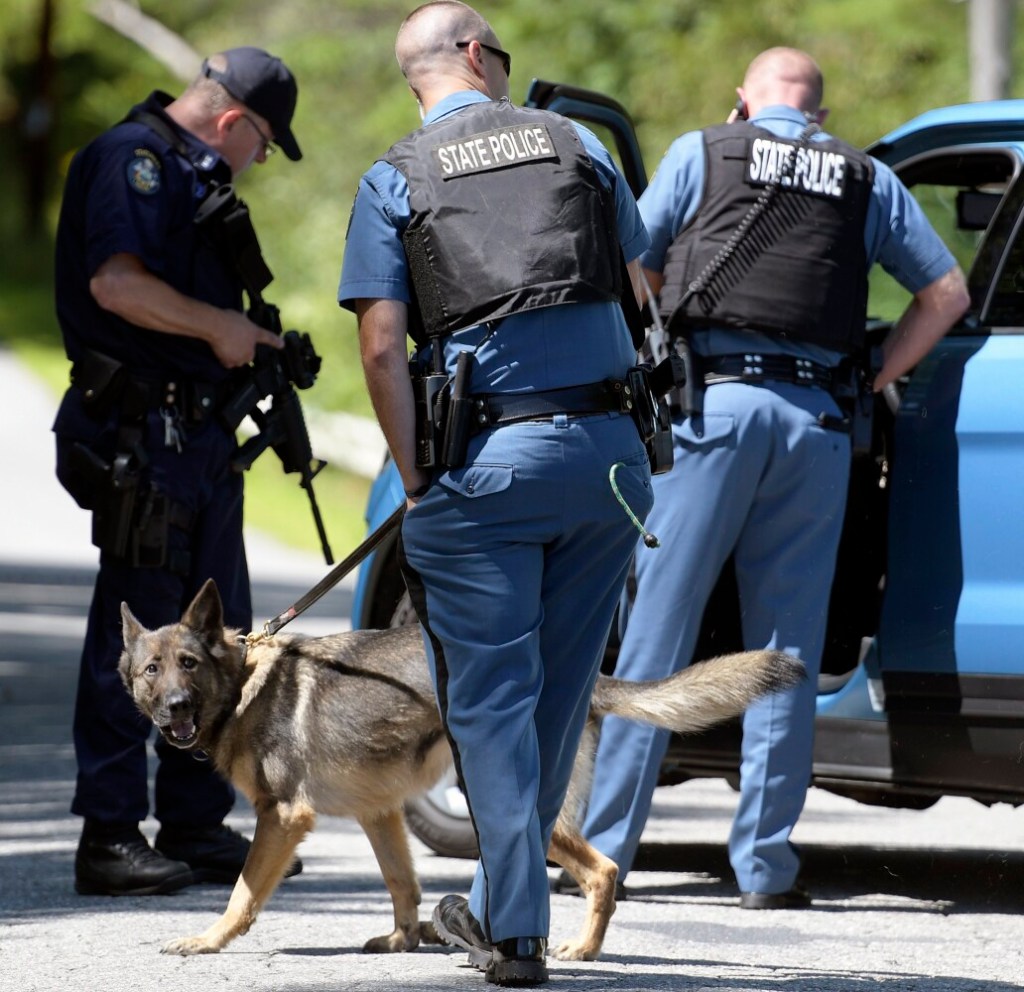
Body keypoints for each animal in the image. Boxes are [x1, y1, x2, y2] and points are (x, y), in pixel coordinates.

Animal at [119, 581, 802, 958]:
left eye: (187, 664)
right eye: (153, 671)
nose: (174, 707)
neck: (241, 686)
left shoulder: (283, 819)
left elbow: (241, 895)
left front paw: (208, 941)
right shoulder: (379, 814)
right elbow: (403, 883)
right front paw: (402, 941)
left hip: (512, 810)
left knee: (604, 870)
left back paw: (581, 949)